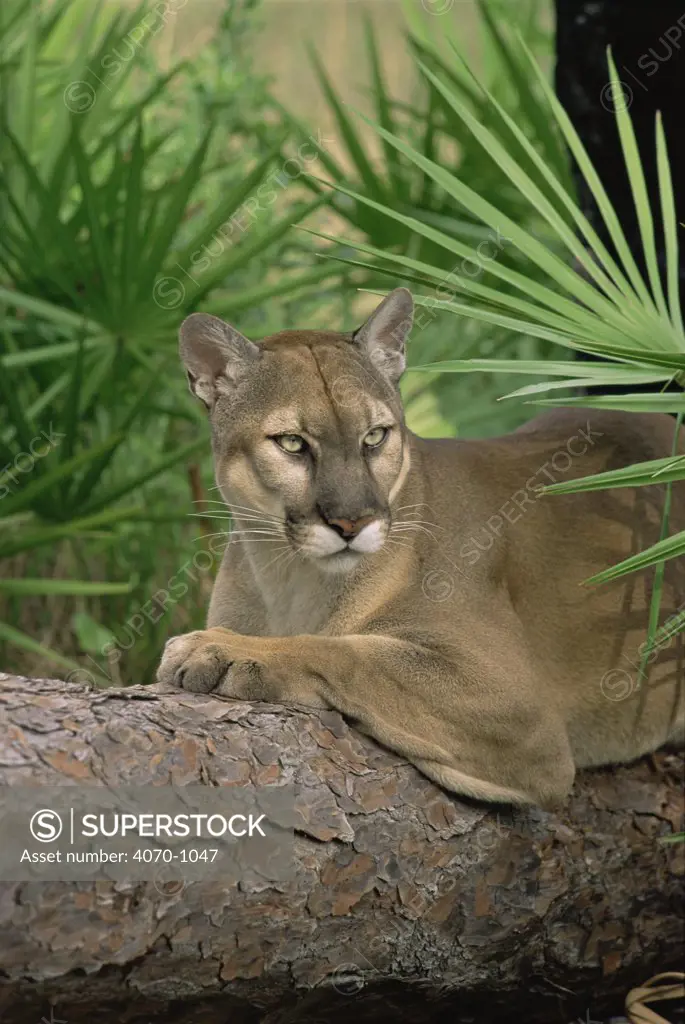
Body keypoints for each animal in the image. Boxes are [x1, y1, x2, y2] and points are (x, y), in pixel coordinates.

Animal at [156, 288, 683, 806]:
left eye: (374, 436)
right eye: (291, 443)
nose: (352, 522)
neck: (290, 577)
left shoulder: (521, 704)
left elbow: (348, 654)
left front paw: (223, 650)